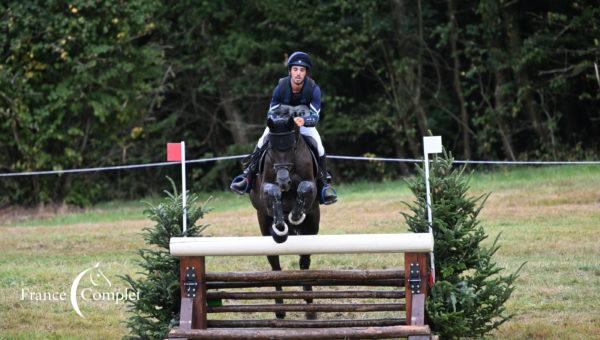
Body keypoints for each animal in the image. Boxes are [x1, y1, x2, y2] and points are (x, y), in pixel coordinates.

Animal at [247, 105, 318, 320]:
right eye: (271, 149)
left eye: (292, 148)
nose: (284, 182)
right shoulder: (265, 190)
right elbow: (272, 192)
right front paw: (281, 225)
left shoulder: (311, 187)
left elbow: (305, 188)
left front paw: (295, 215)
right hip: (263, 224)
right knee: (275, 266)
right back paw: (279, 310)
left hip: (313, 225)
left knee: (304, 263)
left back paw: (310, 309)